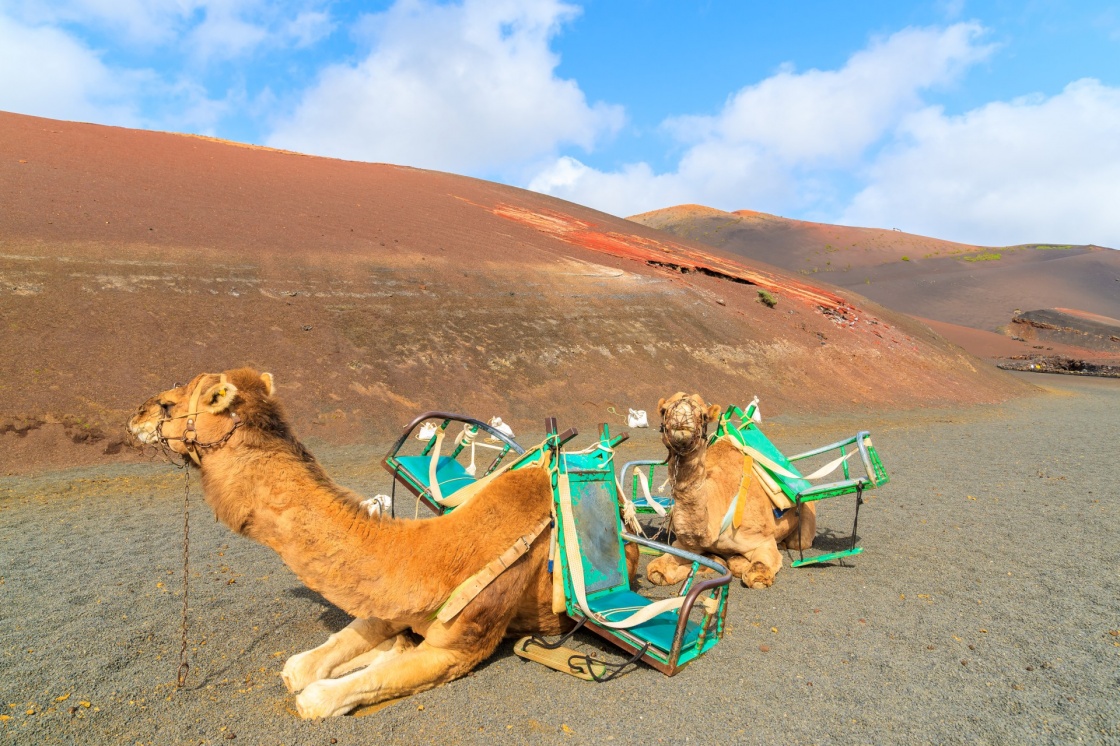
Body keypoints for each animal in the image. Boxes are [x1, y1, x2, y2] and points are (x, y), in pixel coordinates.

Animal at [128, 369, 631, 716]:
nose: (135, 414)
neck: (430, 554)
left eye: (171, 404)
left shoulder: (460, 648)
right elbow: (308, 663)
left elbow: (320, 696)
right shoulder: (392, 602)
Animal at [645, 392, 819, 591]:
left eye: (704, 415)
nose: (681, 419)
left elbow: (756, 573)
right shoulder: (683, 544)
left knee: (798, 542)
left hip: (806, 520)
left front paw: (735, 563)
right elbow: (656, 570)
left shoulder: (762, 540)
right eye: (663, 410)